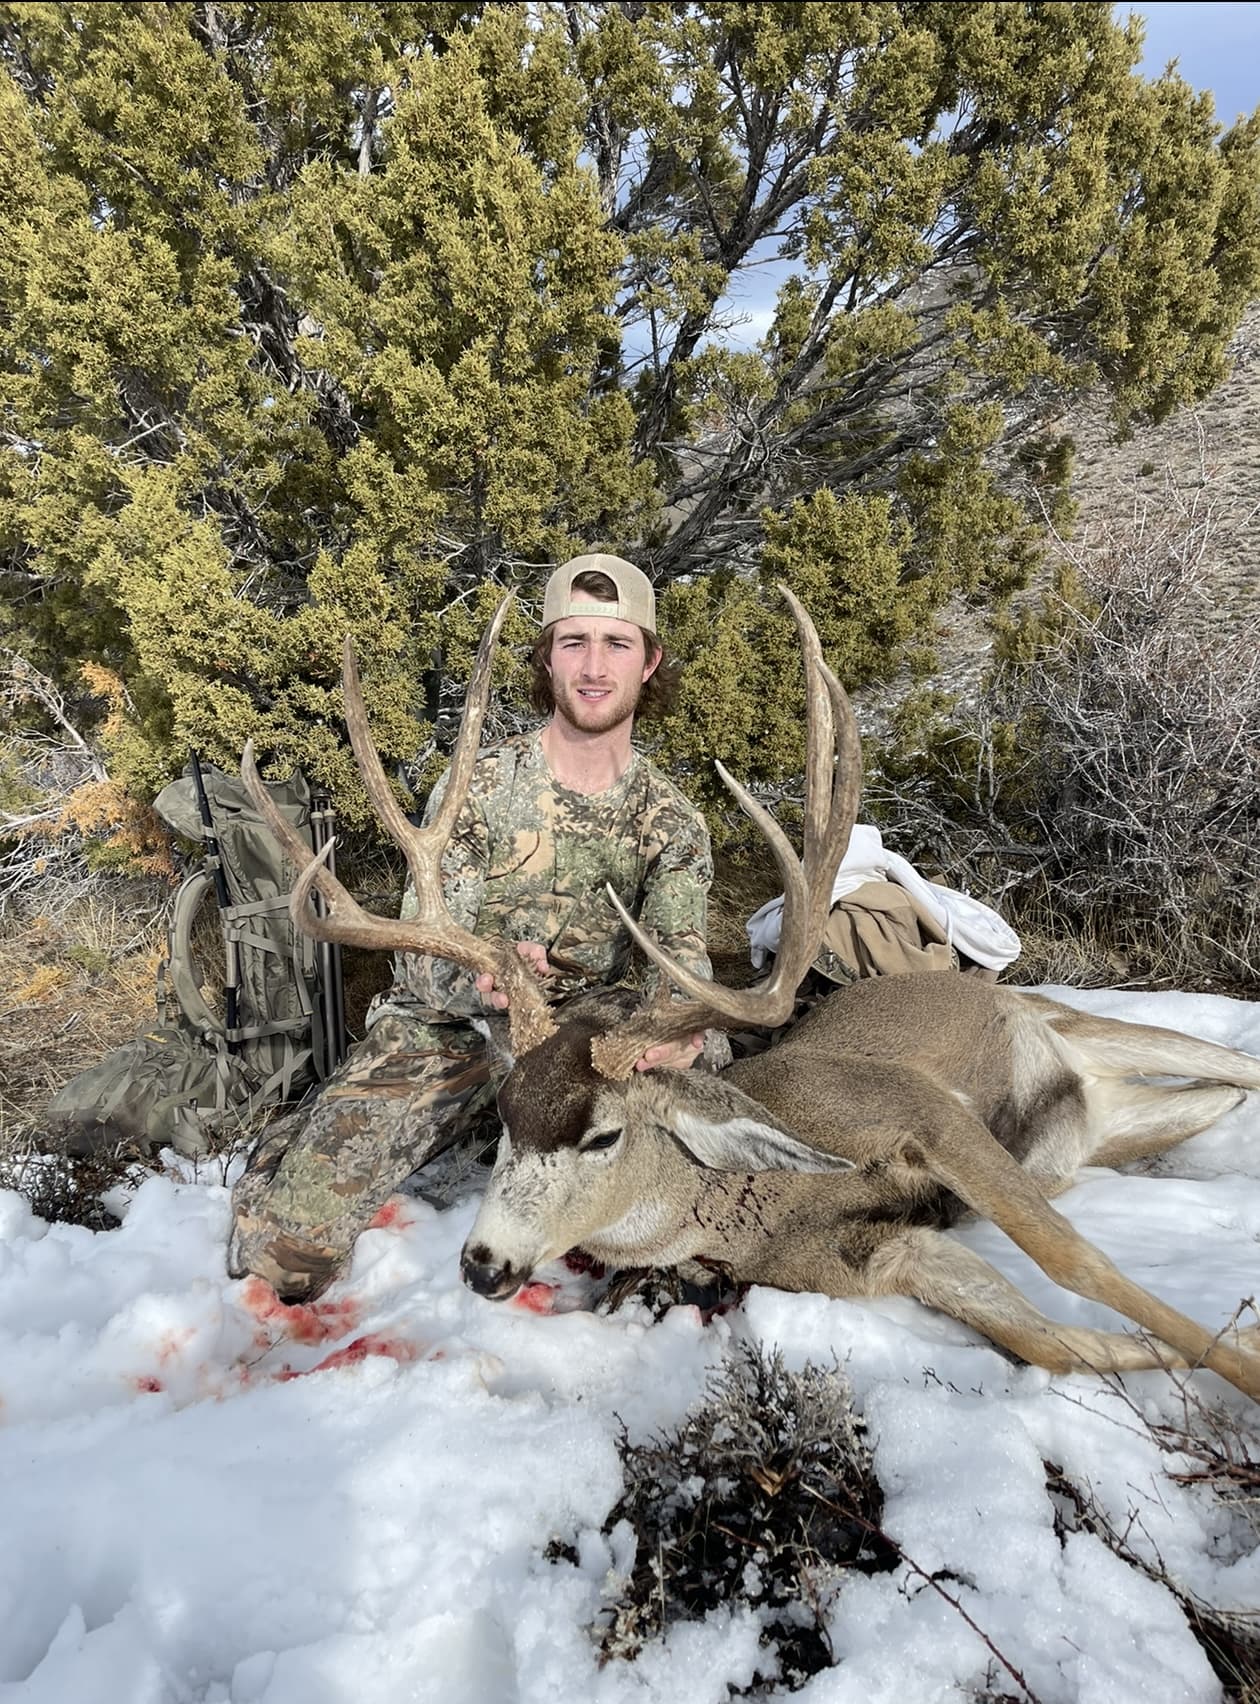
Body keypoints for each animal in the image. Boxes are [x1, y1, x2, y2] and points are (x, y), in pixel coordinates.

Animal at [242, 590, 1260, 1402]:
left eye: (603, 1135)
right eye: (501, 1118)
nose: (483, 1266)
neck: (771, 1194)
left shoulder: (919, 1108)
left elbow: (1076, 1261)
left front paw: (1245, 1365)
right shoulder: (875, 1260)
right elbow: (1063, 1346)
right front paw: (1217, 1344)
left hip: (1066, 1019)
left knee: (1226, 1061)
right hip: (1106, 1120)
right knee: (1198, 1101)